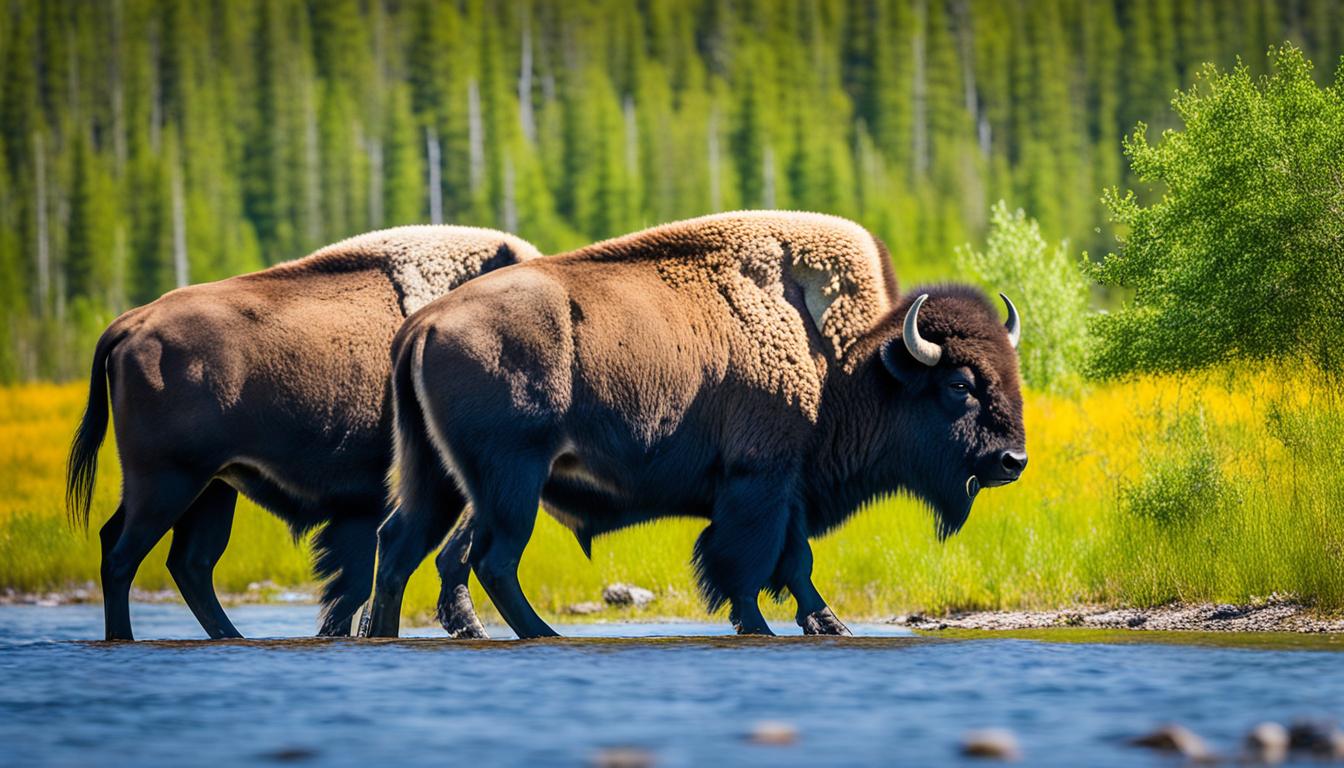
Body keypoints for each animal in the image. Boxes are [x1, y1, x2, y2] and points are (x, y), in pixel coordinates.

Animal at [65, 225, 540, 640]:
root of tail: (131, 323)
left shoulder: (369, 506)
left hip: (210, 487)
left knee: (186, 562)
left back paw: (230, 637)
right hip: (168, 483)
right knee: (125, 556)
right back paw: (129, 637)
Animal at [362, 209, 1021, 637]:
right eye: (959, 386)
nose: (1013, 461)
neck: (846, 360)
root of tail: (424, 323)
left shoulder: (789, 487)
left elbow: (795, 562)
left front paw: (828, 624)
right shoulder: (758, 483)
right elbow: (746, 565)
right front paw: (760, 626)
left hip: (441, 479)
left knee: (400, 547)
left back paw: (385, 635)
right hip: (512, 480)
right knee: (492, 560)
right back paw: (545, 634)